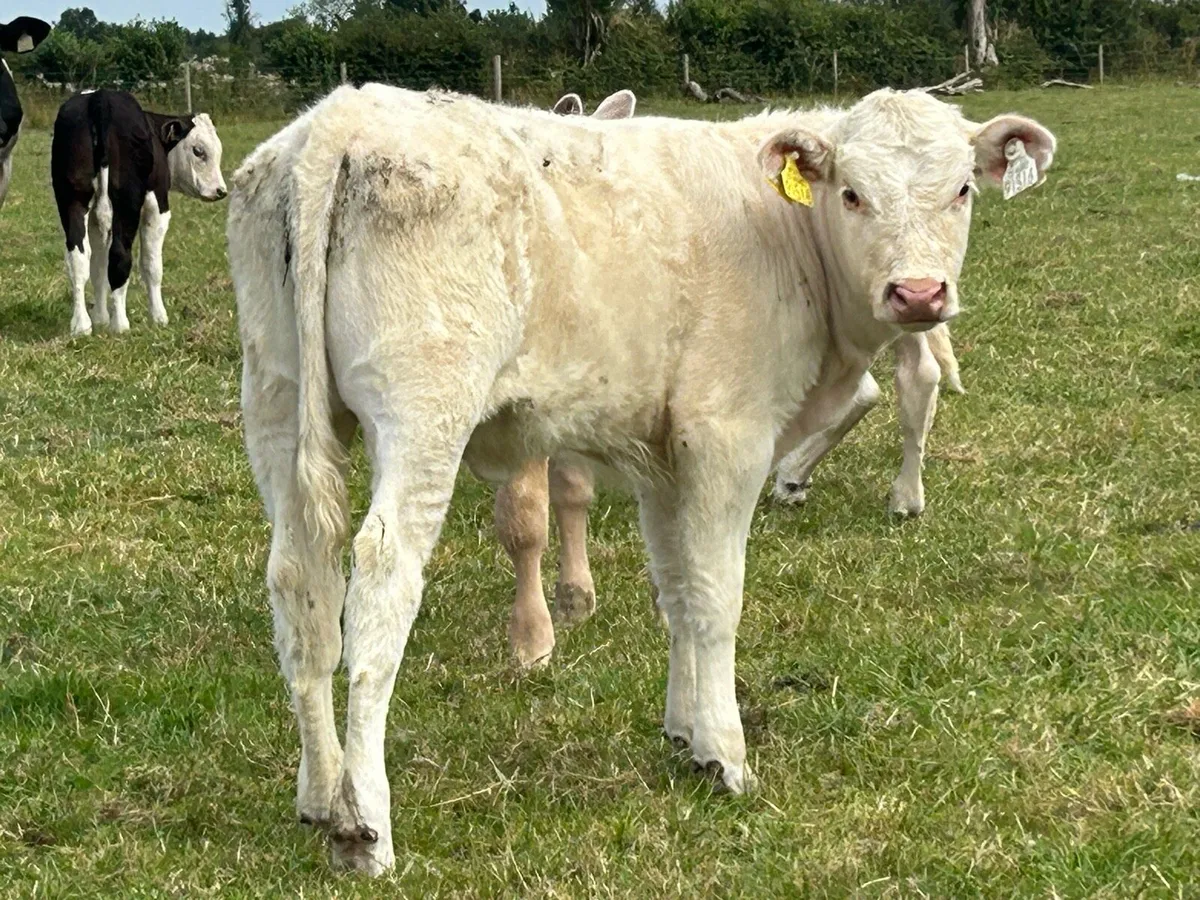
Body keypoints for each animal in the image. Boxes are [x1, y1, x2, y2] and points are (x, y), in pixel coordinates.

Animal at [50, 89, 227, 337]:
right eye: (198, 151)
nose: (221, 190)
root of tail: (100, 97)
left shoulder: (93, 218)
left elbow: (98, 267)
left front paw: (100, 319)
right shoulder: (157, 207)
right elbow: (151, 266)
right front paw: (159, 317)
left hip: (73, 200)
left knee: (78, 259)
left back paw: (81, 325)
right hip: (126, 204)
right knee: (120, 256)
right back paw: (120, 325)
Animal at [228, 84, 1054, 874]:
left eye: (962, 189)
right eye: (851, 193)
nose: (918, 294)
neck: (785, 235)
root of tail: (339, 120)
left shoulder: (663, 458)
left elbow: (678, 591)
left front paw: (685, 733)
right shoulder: (726, 436)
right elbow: (717, 598)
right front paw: (727, 752)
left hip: (274, 397)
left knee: (300, 582)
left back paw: (319, 793)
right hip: (423, 409)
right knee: (380, 581)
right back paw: (365, 826)